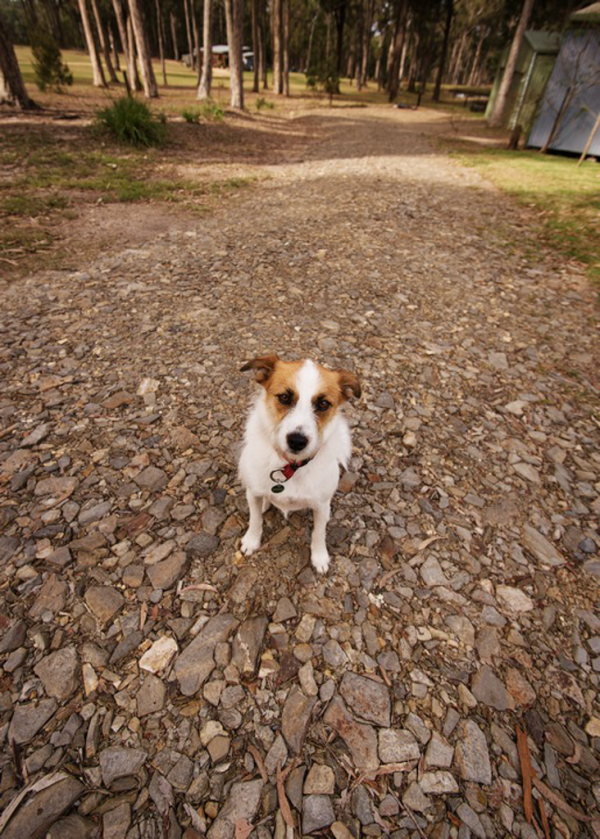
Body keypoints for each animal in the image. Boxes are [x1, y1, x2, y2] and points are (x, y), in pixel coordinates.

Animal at [239, 352, 360, 576]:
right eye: (284, 397)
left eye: (323, 404)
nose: (297, 441)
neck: (290, 467)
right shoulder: (253, 493)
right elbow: (255, 519)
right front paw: (251, 540)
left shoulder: (322, 506)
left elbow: (319, 533)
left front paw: (319, 557)